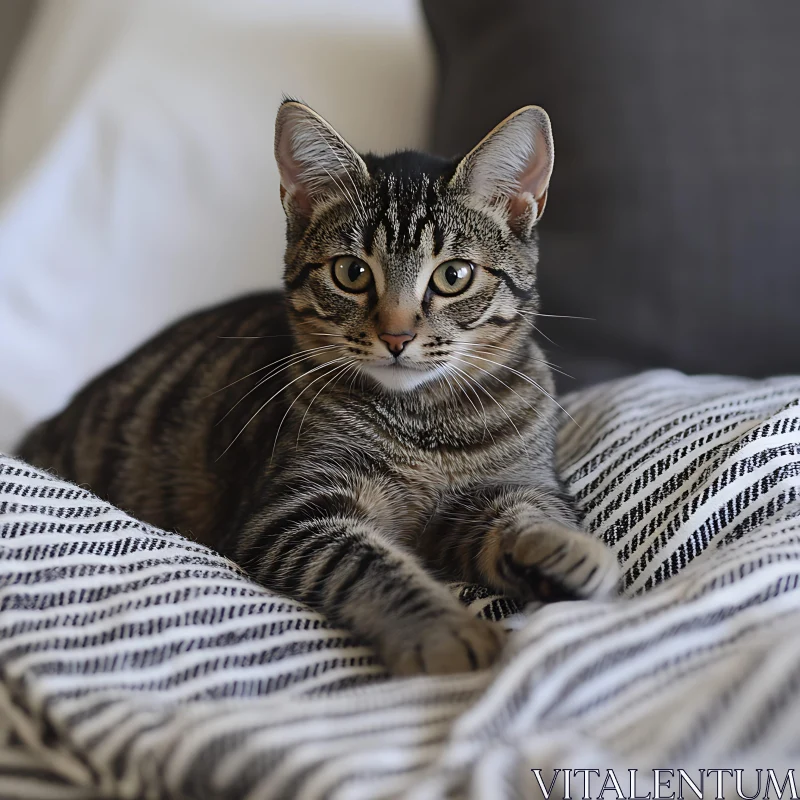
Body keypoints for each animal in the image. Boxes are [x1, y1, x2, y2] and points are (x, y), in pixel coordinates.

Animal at [17, 98, 620, 676]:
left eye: (454, 276)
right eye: (352, 272)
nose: (397, 335)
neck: (424, 422)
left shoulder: (512, 486)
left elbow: (526, 514)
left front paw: (564, 547)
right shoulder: (290, 515)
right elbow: (366, 564)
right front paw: (445, 630)